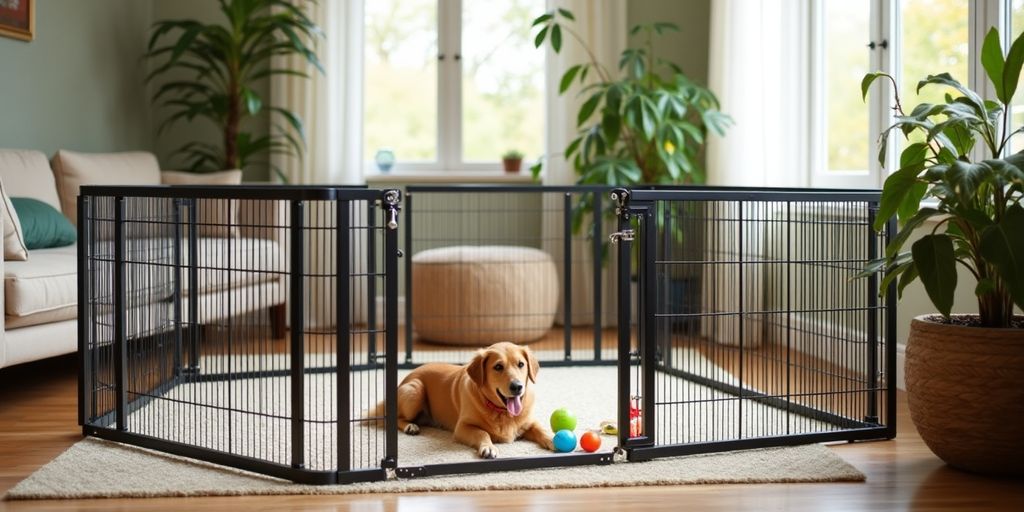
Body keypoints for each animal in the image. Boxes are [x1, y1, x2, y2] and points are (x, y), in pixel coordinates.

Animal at [385, 342, 552, 458]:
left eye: (521, 364)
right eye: (498, 367)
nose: (517, 386)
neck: (501, 412)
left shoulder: (529, 422)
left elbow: (540, 428)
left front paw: (551, 438)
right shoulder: (462, 427)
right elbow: (482, 433)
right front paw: (488, 447)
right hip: (415, 390)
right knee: (396, 418)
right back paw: (410, 426)